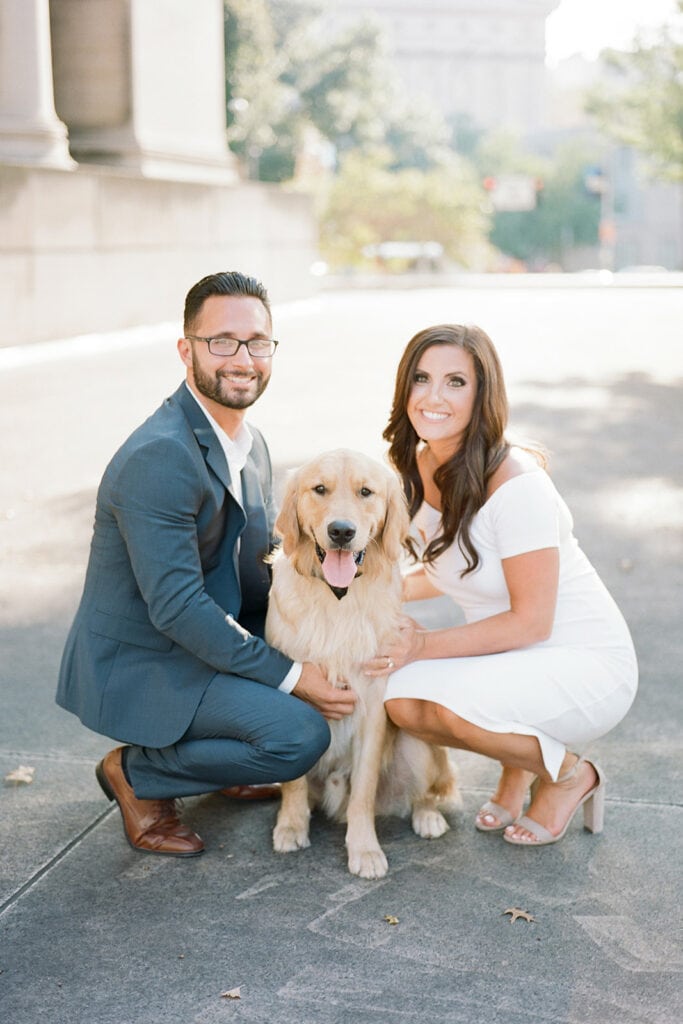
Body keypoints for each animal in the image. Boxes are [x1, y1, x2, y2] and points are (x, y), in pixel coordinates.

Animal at [268, 448, 458, 880]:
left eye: (366, 492)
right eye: (319, 489)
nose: (341, 531)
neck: (338, 597)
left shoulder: (373, 704)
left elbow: (364, 792)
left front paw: (365, 849)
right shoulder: (296, 696)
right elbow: (293, 783)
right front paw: (291, 825)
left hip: (418, 746)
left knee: (424, 792)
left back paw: (427, 817)